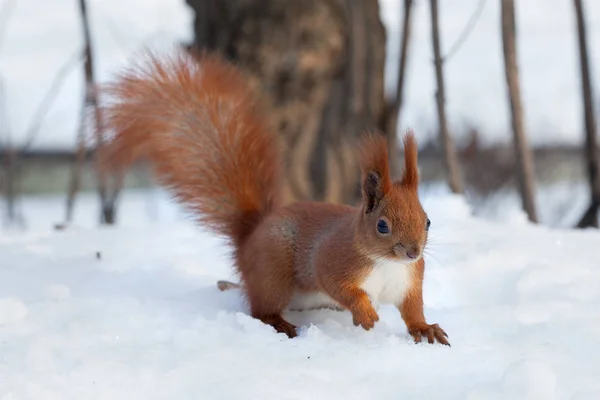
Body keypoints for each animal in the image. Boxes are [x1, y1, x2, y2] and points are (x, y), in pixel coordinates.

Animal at [101, 49, 450, 344]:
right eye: (382, 226)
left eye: (428, 221)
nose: (413, 253)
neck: (386, 263)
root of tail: (249, 240)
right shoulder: (334, 260)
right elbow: (340, 286)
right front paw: (364, 313)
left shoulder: (408, 282)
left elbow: (413, 309)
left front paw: (425, 328)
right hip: (274, 272)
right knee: (262, 309)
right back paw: (282, 324)